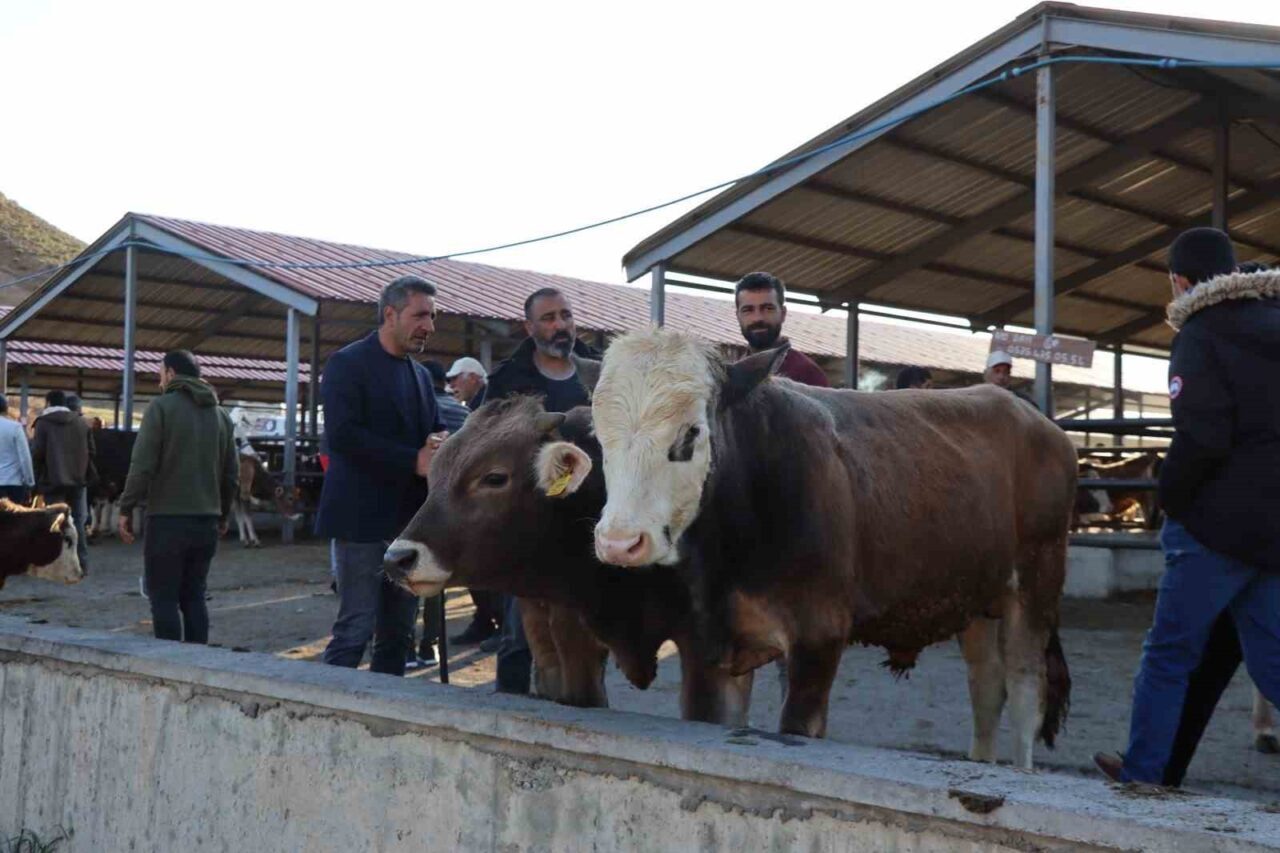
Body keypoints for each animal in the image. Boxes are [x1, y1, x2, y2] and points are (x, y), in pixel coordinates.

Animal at [584, 329, 1076, 769]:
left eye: (690, 434)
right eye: (599, 436)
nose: (619, 542)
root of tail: (1037, 421)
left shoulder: (817, 635)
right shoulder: (706, 646)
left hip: (1038, 578)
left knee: (1025, 691)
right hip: (974, 595)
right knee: (987, 685)